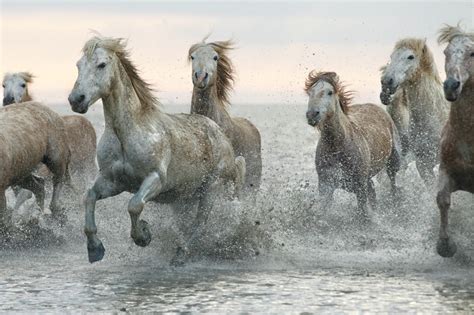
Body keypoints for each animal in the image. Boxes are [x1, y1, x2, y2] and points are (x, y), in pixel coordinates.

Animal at [0, 102, 70, 231]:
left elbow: (3, 221)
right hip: (20, 169)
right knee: (37, 185)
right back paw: (36, 216)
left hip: (55, 154)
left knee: (58, 177)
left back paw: (54, 210)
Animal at [68, 35, 246, 266]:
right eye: (78, 65)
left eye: (101, 64)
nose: (76, 100)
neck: (127, 132)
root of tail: (220, 133)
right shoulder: (113, 181)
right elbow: (89, 197)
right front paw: (95, 249)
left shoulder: (155, 179)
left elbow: (134, 205)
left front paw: (143, 235)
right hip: (186, 196)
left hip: (211, 188)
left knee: (200, 222)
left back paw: (181, 254)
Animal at [306, 71, 402, 220]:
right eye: (310, 92)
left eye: (330, 92)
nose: (312, 114)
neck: (337, 146)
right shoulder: (326, 185)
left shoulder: (360, 187)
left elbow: (363, 212)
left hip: (393, 162)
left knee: (392, 181)